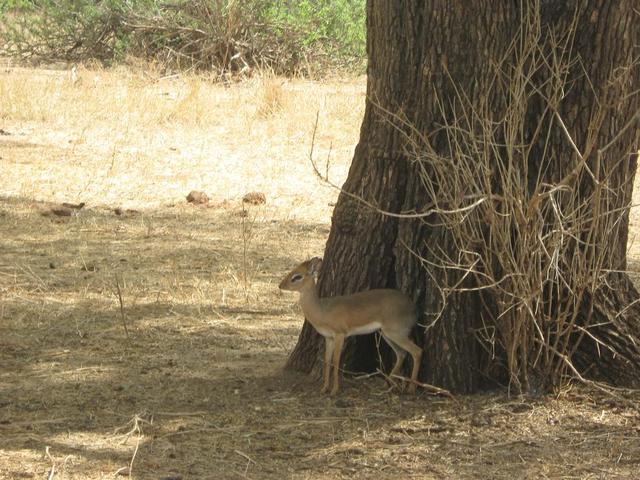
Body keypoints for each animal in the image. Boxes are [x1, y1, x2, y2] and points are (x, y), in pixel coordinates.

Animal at [278, 256, 420, 396]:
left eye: (297, 276)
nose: (280, 285)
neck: (322, 311)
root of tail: (413, 307)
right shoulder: (328, 337)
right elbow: (327, 360)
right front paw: (324, 388)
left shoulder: (340, 334)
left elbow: (336, 360)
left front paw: (334, 390)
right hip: (386, 333)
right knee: (402, 354)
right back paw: (387, 384)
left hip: (395, 332)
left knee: (417, 351)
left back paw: (411, 389)